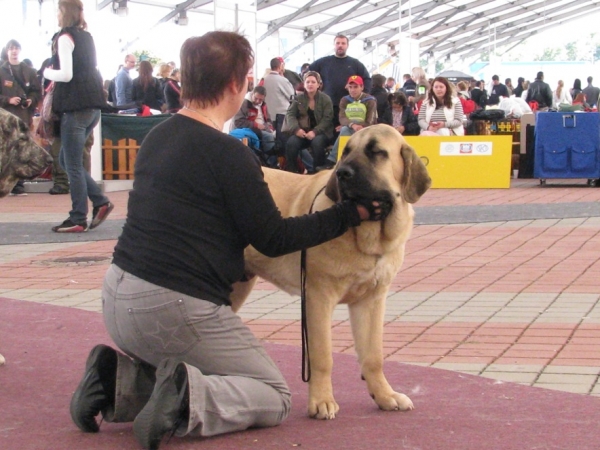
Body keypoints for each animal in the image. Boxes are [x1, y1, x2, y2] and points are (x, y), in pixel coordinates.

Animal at [230, 125, 432, 420]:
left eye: (376, 153)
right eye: (346, 152)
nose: (343, 173)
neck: (367, 234)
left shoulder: (371, 301)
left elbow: (373, 356)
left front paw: (385, 396)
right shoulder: (318, 297)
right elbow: (323, 356)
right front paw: (322, 401)